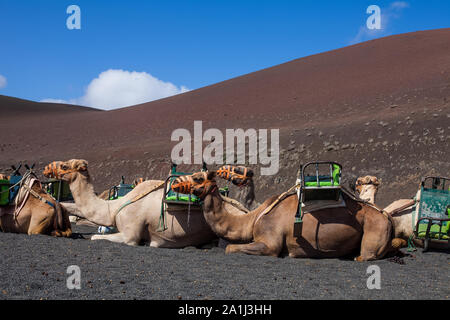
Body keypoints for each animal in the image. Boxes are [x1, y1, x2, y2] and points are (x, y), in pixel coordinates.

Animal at [171, 170, 404, 260]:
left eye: (198, 178)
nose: (174, 184)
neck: (252, 218)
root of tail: (386, 215)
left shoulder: (270, 243)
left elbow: (229, 248)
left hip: (374, 229)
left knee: (365, 255)